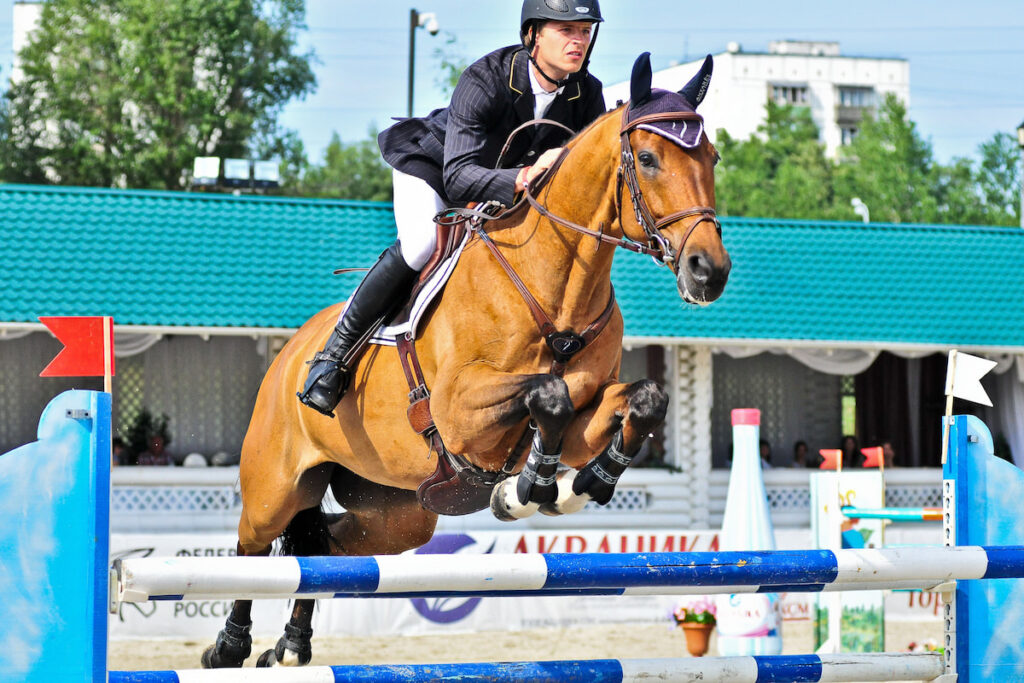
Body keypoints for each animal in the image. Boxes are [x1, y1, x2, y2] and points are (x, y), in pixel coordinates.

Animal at [201, 52, 729, 667]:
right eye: (647, 159)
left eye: (712, 157)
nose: (709, 271)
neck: (554, 285)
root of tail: (290, 352)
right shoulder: (460, 413)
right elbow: (547, 393)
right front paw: (527, 489)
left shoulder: (585, 414)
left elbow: (639, 399)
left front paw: (579, 483)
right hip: (277, 484)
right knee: (253, 545)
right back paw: (230, 646)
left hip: (399, 513)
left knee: (326, 548)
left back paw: (290, 644)